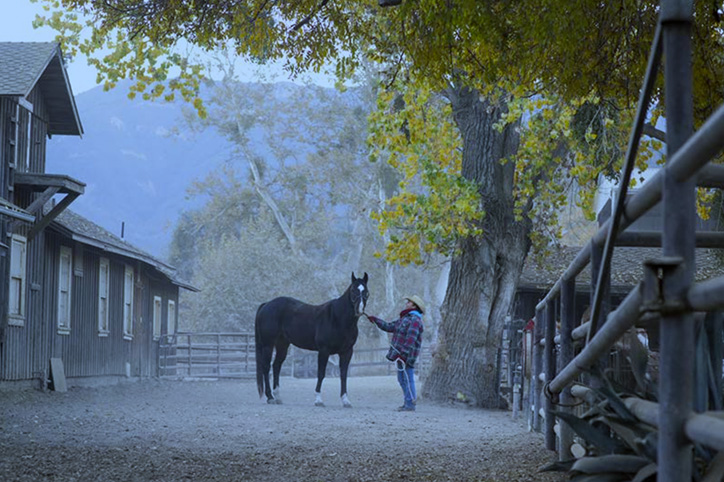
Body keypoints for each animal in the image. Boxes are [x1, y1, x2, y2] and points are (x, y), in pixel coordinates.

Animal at [253, 272, 368, 406]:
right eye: (353, 290)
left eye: (366, 292)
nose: (359, 310)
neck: (337, 318)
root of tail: (266, 304)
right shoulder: (324, 351)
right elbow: (321, 373)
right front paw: (318, 400)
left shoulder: (347, 352)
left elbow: (343, 375)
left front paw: (345, 401)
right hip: (268, 345)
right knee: (266, 367)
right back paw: (270, 397)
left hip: (282, 345)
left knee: (276, 366)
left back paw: (278, 397)